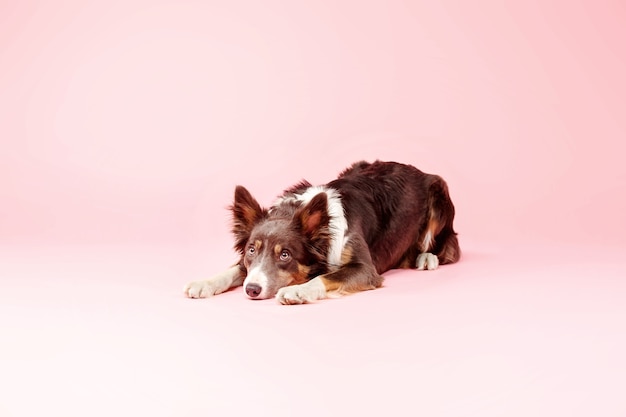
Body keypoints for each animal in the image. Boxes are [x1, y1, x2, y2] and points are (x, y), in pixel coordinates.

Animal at [182, 159, 458, 302]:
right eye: (251, 250)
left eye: (285, 255)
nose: (252, 290)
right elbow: (234, 269)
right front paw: (204, 282)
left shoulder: (365, 269)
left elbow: (326, 277)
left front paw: (297, 290)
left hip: (440, 193)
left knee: (448, 248)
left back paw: (427, 257)